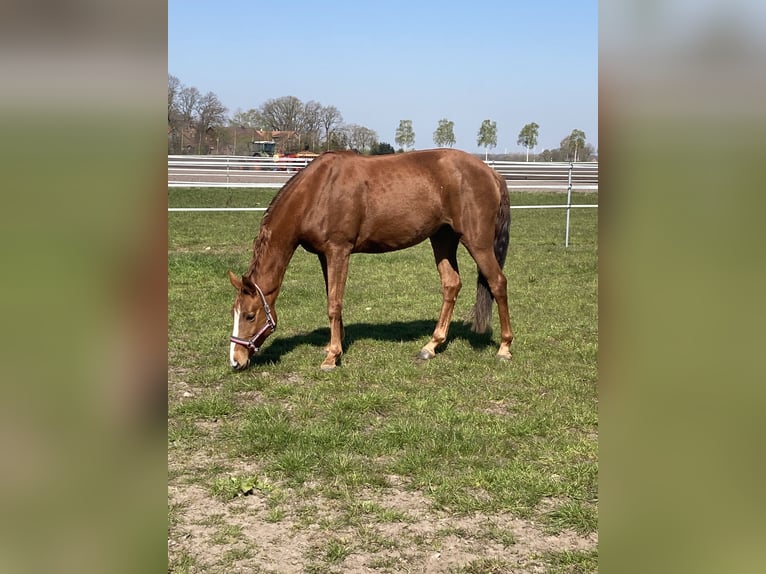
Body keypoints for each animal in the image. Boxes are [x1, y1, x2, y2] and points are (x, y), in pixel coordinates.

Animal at [230, 148, 516, 374]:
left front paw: (331, 357)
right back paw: (431, 346)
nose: (235, 361)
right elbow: (332, 299)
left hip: (477, 242)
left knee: (498, 283)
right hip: (442, 239)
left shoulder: (338, 251)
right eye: (235, 311)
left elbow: (334, 303)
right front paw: (335, 345)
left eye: (250, 315)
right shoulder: (325, 255)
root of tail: (491, 173)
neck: (317, 191)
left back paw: (504, 348)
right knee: (451, 284)